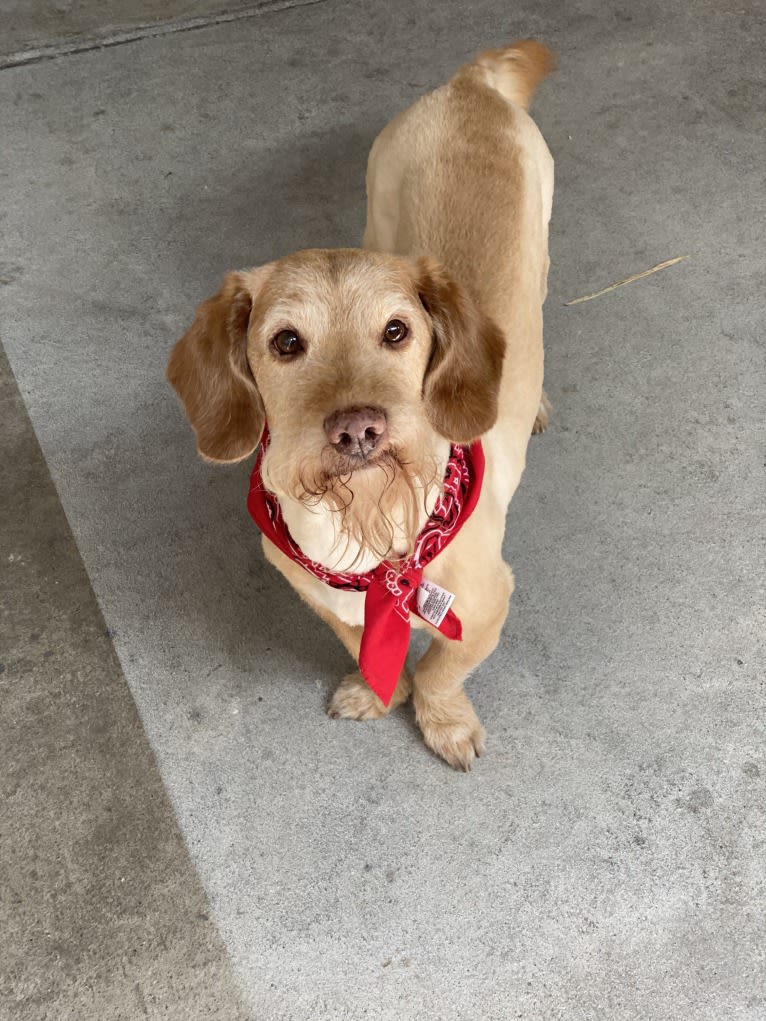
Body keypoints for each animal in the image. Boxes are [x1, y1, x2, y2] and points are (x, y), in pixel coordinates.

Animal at [167, 41, 555, 771]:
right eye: (286, 342)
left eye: (397, 331)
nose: (358, 429)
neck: (368, 534)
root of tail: (470, 85)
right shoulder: (319, 596)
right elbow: (366, 649)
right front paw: (378, 693)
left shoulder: (487, 606)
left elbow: (440, 669)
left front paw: (444, 722)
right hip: (378, 212)